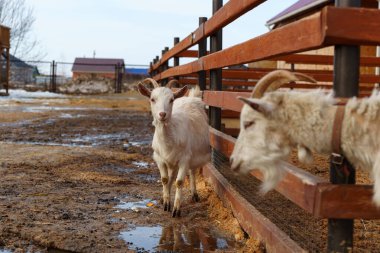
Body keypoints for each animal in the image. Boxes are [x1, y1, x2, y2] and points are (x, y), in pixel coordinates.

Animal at [137, 79, 211, 217]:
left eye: (171, 99)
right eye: (152, 99)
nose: (162, 114)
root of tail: (191, 97)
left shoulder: (184, 158)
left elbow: (179, 181)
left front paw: (176, 209)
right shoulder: (159, 158)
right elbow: (165, 179)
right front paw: (166, 202)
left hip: (193, 154)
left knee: (192, 172)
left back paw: (194, 194)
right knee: (171, 175)